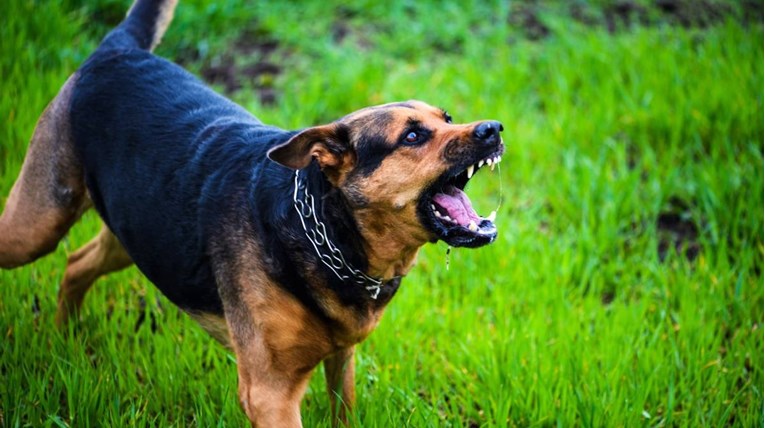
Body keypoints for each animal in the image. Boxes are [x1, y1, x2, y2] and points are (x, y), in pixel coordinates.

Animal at [0, 1, 504, 426]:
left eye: (446, 117)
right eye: (413, 137)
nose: (493, 128)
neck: (327, 234)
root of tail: (117, 50)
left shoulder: (341, 358)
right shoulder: (270, 394)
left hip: (137, 232)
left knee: (76, 262)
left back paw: (64, 336)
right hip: (37, 223)